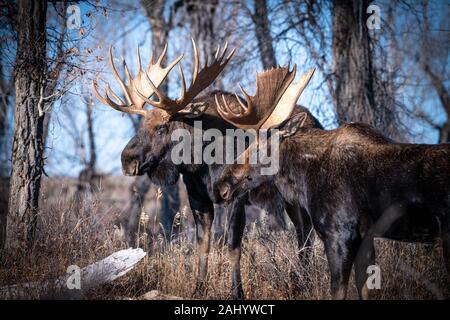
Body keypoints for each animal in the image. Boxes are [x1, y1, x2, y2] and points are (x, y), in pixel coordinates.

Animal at [93, 40, 322, 300]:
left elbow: (233, 245)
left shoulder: (235, 196)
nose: (127, 160)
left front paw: (237, 293)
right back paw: (300, 280)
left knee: (306, 232)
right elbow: (203, 244)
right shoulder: (198, 198)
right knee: (304, 231)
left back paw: (303, 281)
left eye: (162, 127)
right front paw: (199, 288)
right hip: (290, 201)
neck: (202, 161)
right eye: (142, 124)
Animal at [213, 63, 450, 298]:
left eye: (258, 146)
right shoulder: (365, 238)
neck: (304, 177)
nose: (222, 185)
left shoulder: (339, 234)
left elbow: (337, 291)